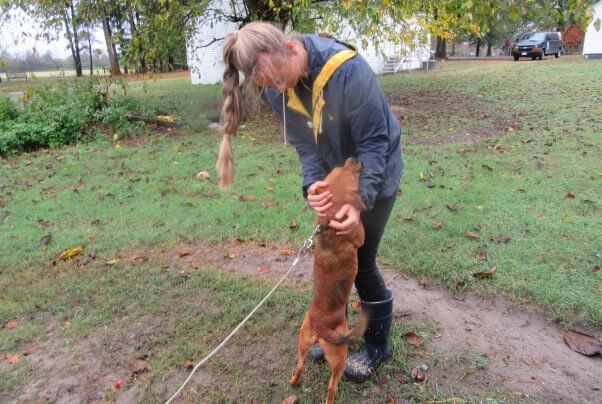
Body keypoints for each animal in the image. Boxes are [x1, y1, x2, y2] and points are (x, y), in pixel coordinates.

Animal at [290, 158, 368, 404]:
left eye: (335, 169)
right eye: (354, 177)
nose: (355, 158)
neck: (329, 224)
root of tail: (321, 328)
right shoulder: (359, 235)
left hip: (302, 340)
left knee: (299, 365)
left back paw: (294, 382)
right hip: (339, 357)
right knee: (331, 386)